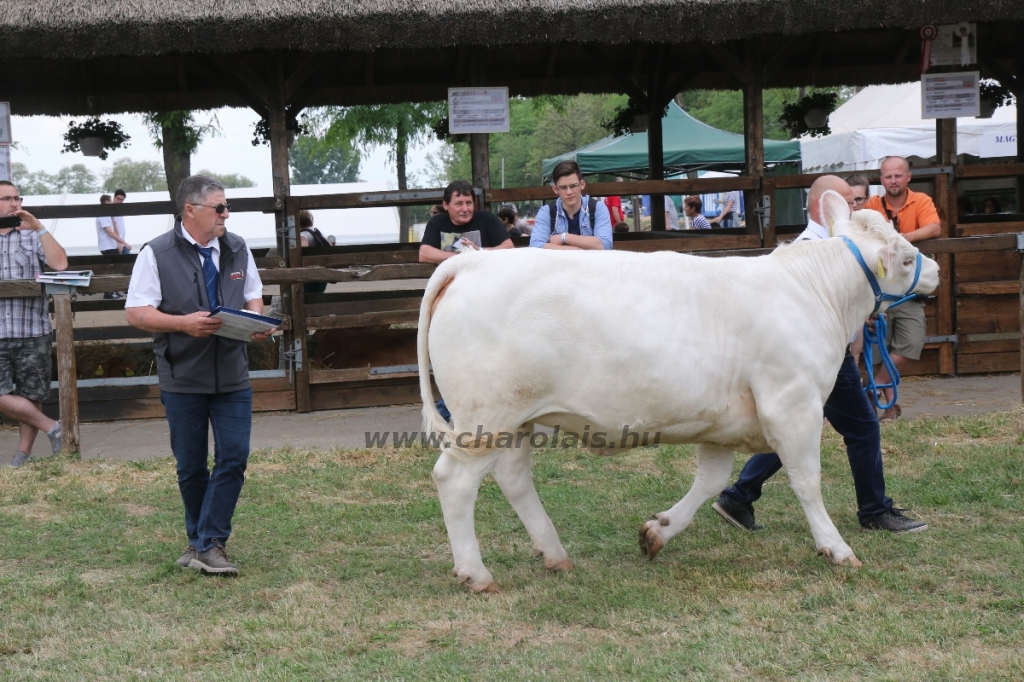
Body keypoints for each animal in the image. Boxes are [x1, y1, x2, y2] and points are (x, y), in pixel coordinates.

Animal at [413, 191, 937, 589]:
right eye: (906, 257)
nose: (932, 269)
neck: (811, 291)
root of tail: (472, 263)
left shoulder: (724, 418)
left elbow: (710, 481)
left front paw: (658, 532)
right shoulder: (793, 402)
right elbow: (806, 479)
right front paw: (836, 547)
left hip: (517, 418)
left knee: (514, 477)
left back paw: (554, 553)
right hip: (486, 416)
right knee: (454, 480)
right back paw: (476, 573)